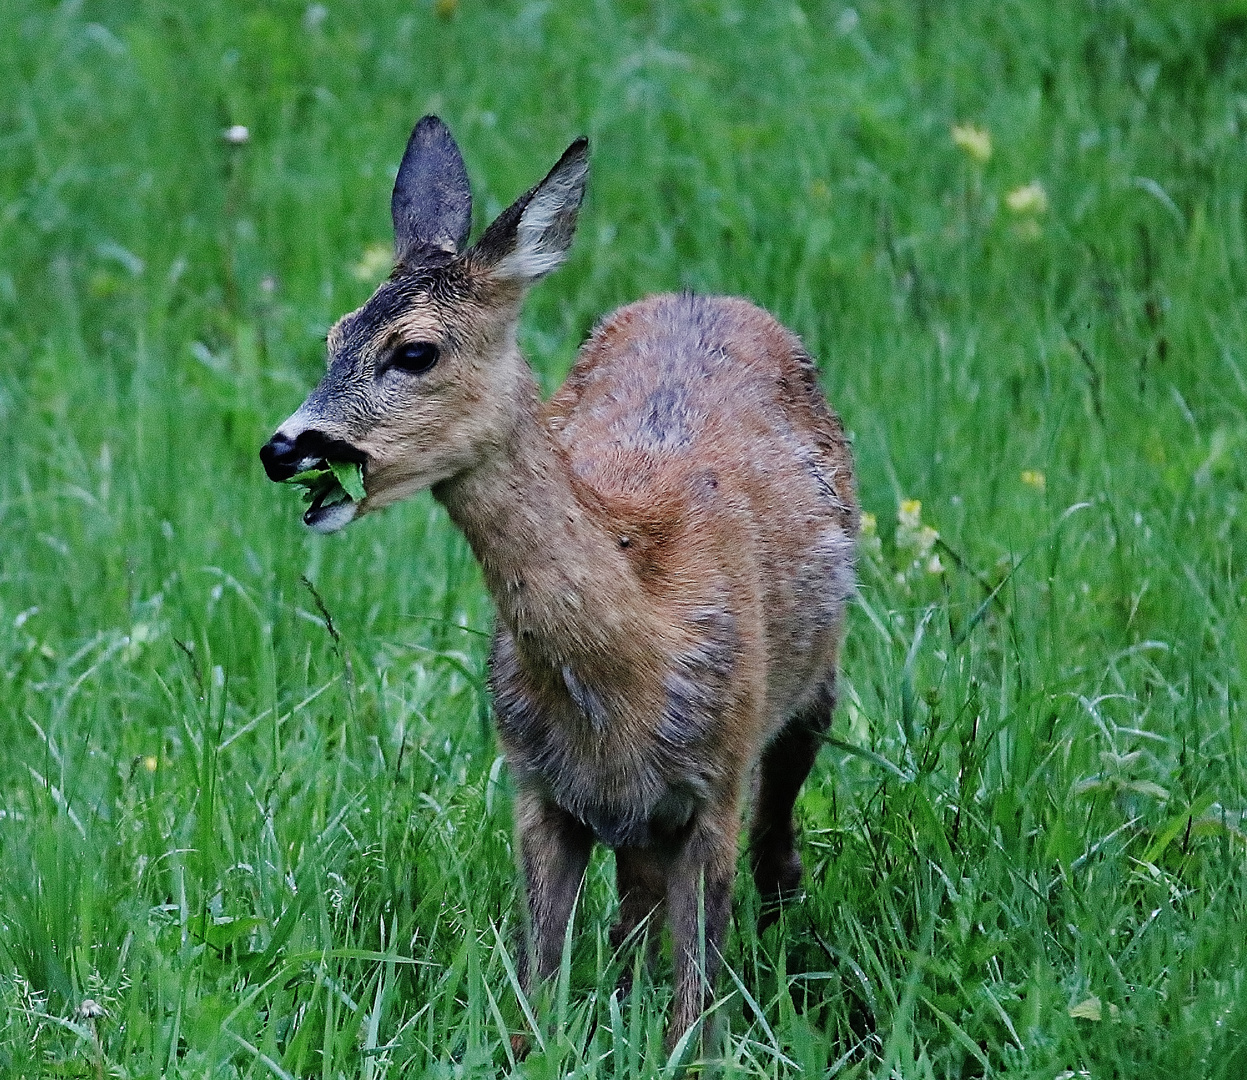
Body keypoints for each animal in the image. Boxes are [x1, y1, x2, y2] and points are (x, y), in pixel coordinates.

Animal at [254, 117, 857, 1042]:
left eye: (414, 351)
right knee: (633, 905)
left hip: (816, 677)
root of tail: (700, 296)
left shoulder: (714, 781)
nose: (284, 448)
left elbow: (696, 1000)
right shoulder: (536, 785)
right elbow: (536, 985)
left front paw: (694, 1043)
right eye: (333, 335)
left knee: (777, 839)